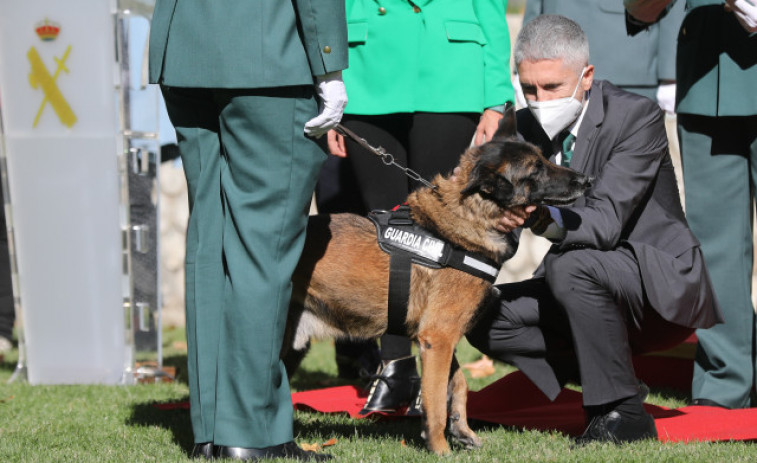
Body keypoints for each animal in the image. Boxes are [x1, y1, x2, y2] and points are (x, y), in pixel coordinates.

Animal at [284, 109, 592, 456]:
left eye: (544, 159)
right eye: (535, 169)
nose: (586, 180)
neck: (467, 219)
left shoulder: (443, 337)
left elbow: (457, 384)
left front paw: (462, 429)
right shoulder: (438, 337)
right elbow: (434, 398)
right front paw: (440, 446)